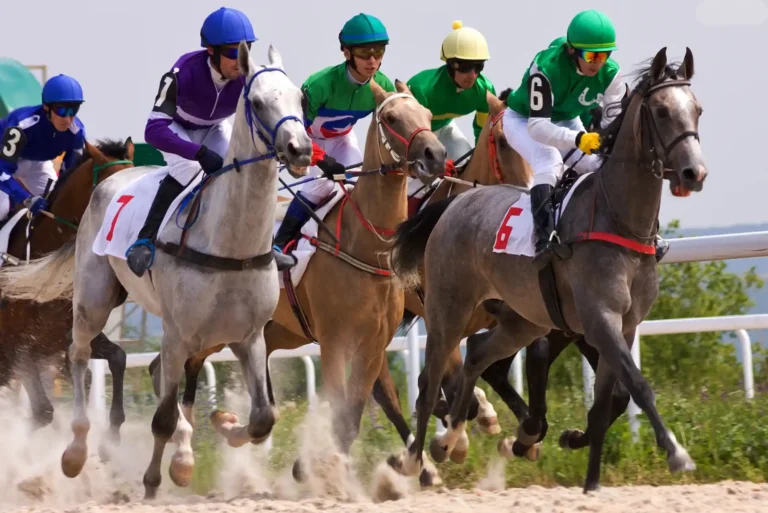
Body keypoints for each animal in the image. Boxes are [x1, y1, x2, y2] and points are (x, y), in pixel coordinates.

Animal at [386, 47, 705, 492]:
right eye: (660, 111)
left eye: (697, 109)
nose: (694, 173)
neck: (619, 220)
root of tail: (456, 202)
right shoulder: (599, 319)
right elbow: (638, 386)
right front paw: (676, 452)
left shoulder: (620, 326)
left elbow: (609, 401)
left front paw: (588, 475)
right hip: (447, 311)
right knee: (429, 384)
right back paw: (417, 460)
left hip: (524, 320)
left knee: (478, 357)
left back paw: (451, 439)